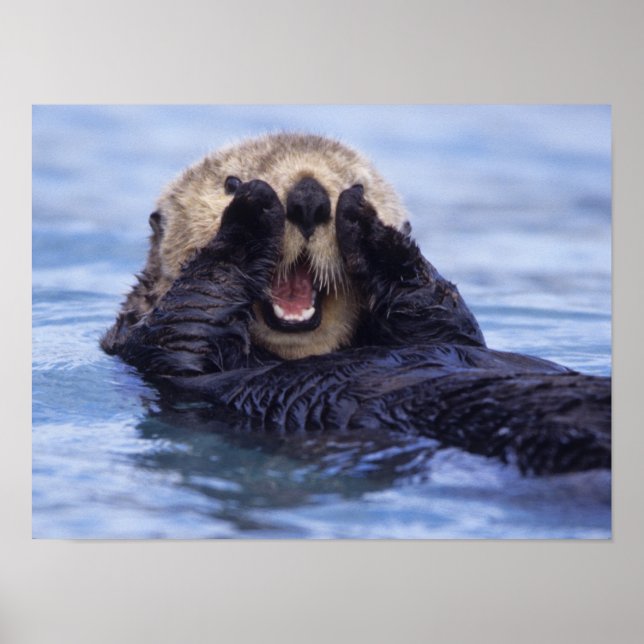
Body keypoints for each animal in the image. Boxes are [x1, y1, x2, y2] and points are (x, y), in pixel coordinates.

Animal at [102, 133, 611, 475]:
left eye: (358, 183)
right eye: (230, 180)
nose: (308, 196)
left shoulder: (446, 331)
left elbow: (444, 316)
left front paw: (369, 228)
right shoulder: (150, 347)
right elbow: (190, 316)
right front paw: (251, 213)